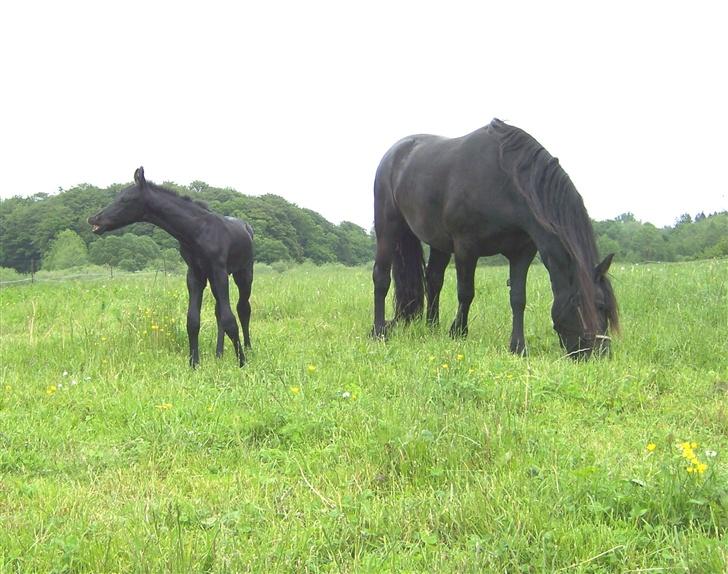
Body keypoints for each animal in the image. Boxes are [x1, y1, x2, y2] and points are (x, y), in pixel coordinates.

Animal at [88, 168, 255, 368]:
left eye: (125, 200)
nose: (94, 219)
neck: (197, 231)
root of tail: (246, 227)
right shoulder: (195, 275)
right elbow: (193, 320)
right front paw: (194, 364)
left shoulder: (219, 271)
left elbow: (230, 318)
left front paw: (242, 363)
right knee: (219, 312)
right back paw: (219, 353)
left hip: (243, 273)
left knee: (243, 308)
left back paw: (248, 349)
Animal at [372, 119, 616, 358]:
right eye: (596, 305)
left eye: (605, 306)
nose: (601, 354)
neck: (507, 183)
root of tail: (394, 153)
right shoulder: (465, 248)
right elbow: (466, 293)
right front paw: (458, 333)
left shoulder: (522, 253)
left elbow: (518, 298)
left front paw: (518, 347)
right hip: (388, 227)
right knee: (381, 277)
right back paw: (379, 331)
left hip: (438, 241)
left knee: (433, 279)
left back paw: (432, 329)